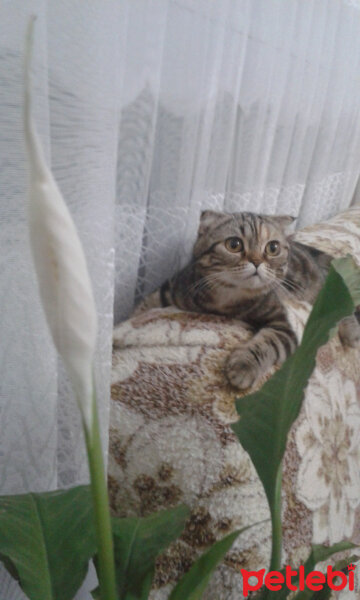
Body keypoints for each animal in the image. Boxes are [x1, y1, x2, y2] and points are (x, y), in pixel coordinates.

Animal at [139, 211, 358, 390]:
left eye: (273, 248)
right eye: (234, 244)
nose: (256, 262)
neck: (228, 297)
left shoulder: (285, 325)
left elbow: (267, 344)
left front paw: (244, 366)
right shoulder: (176, 285)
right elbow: (149, 301)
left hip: (319, 287)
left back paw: (351, 331)